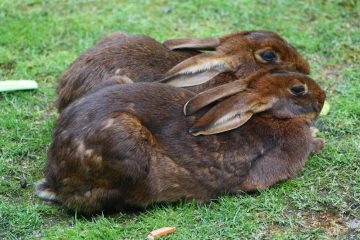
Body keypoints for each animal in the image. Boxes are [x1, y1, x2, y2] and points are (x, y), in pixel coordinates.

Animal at [35, 68, 324, 214]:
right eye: (298, 89)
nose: (322, 98)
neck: (272, 116)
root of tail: (56, 179)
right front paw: (317, 143)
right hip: (124, 143)